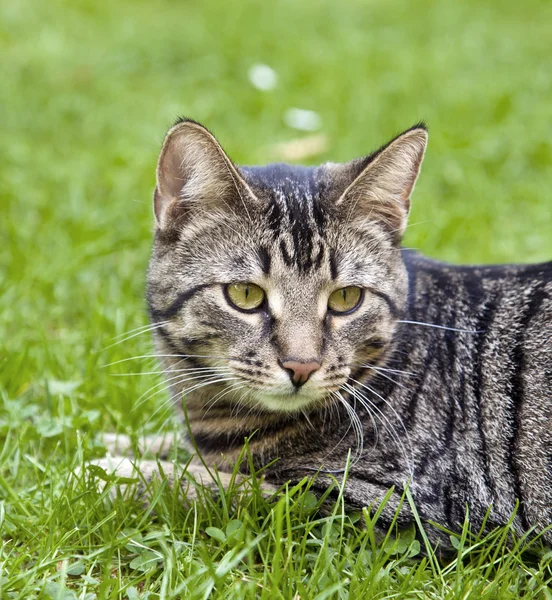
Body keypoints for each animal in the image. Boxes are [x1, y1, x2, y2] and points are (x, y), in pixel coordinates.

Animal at [101, 119, 548, 548]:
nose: (302, 366)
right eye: (245, 294)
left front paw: (112, 471)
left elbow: (216, 486)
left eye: (346, 298)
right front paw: (110, 443)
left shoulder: (394, 505)